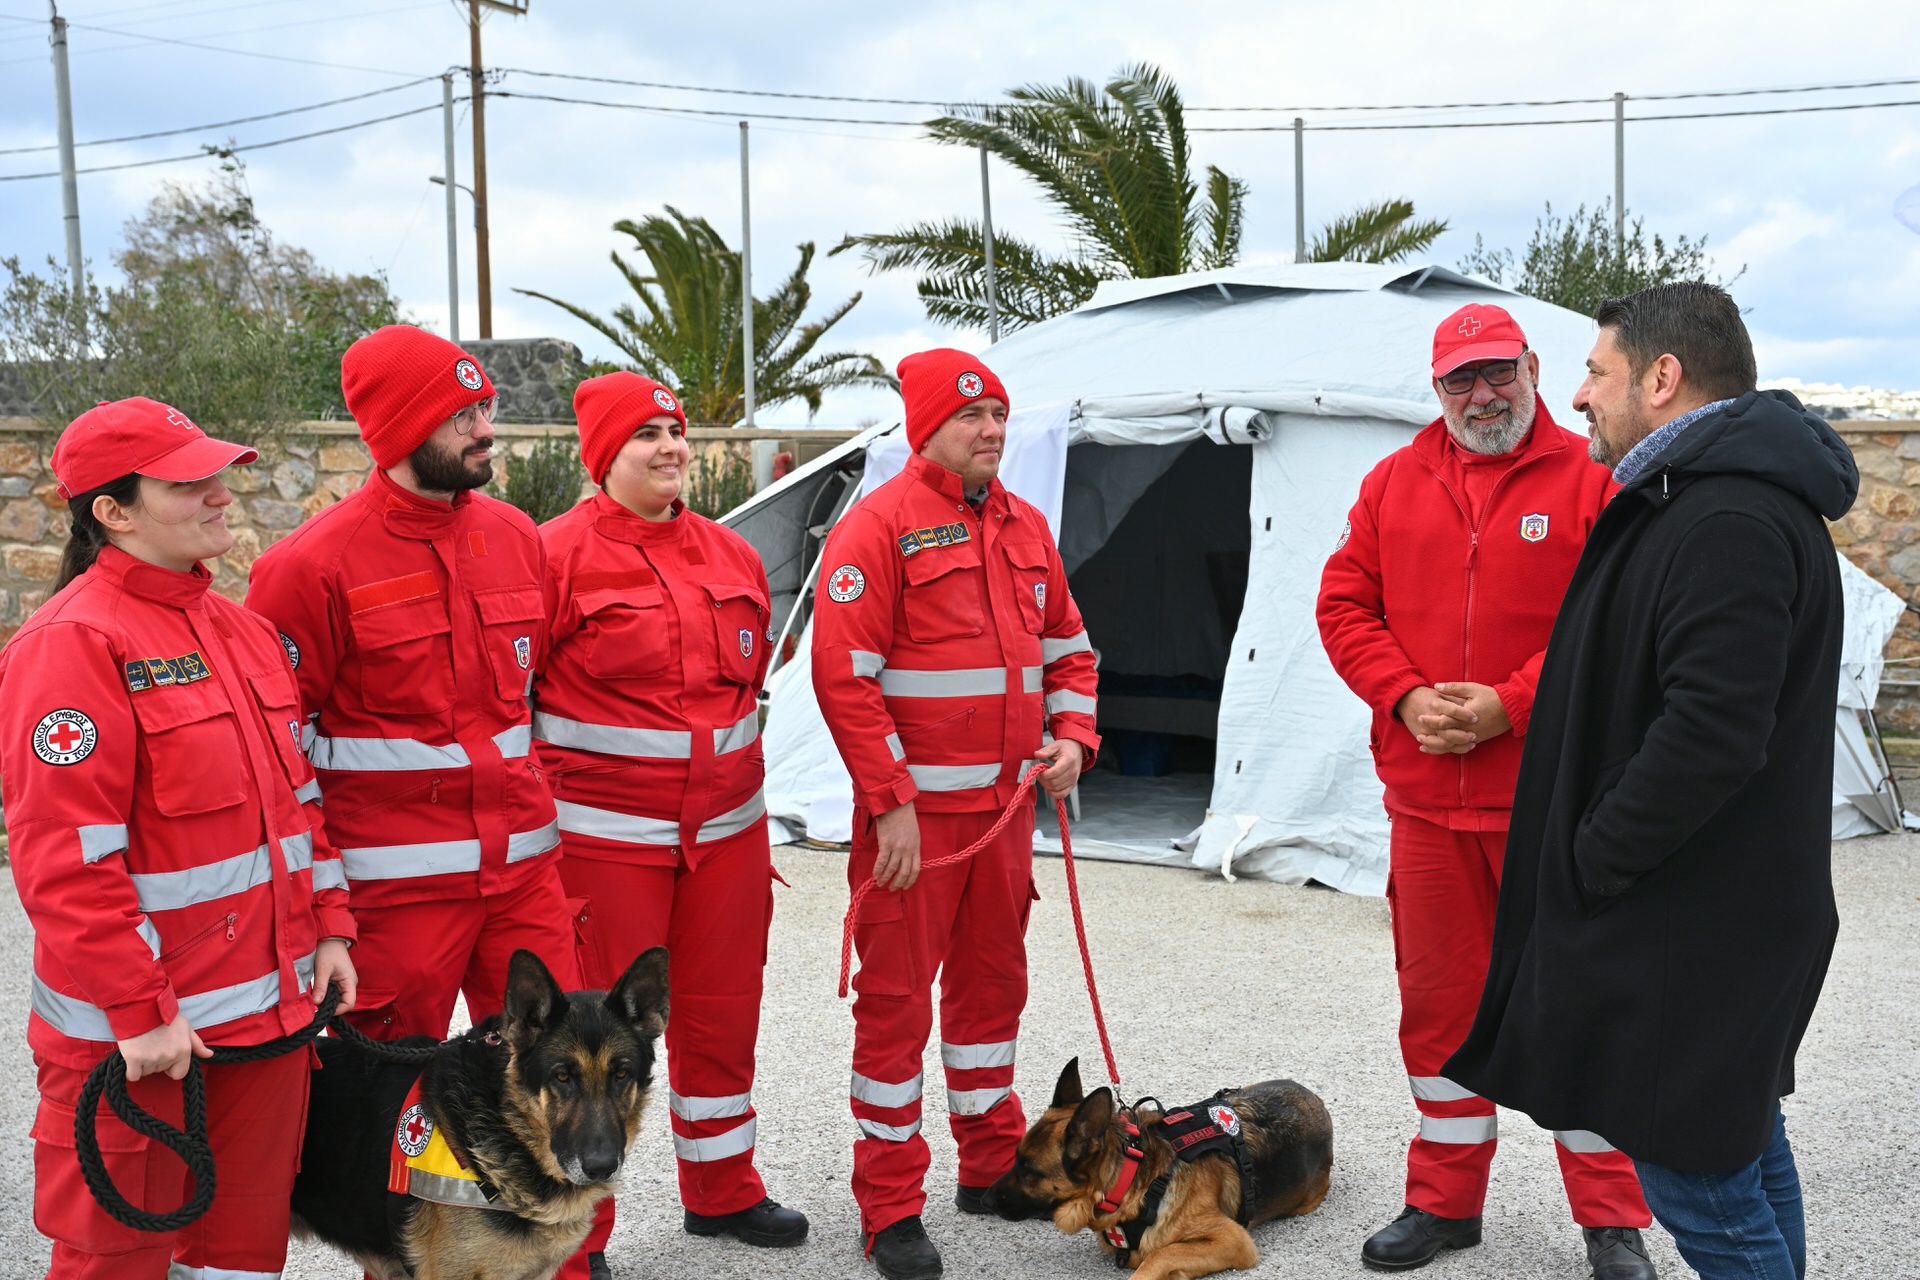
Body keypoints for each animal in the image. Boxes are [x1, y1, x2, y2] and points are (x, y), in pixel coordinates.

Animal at [983, 1059, 1328, 1280]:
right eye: (1016, 1160)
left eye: (1029, 1170)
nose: (985, 1199)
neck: (1133, 1182)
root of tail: (1314, 1099)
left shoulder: (1234, 1241)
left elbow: (1160, 1254)